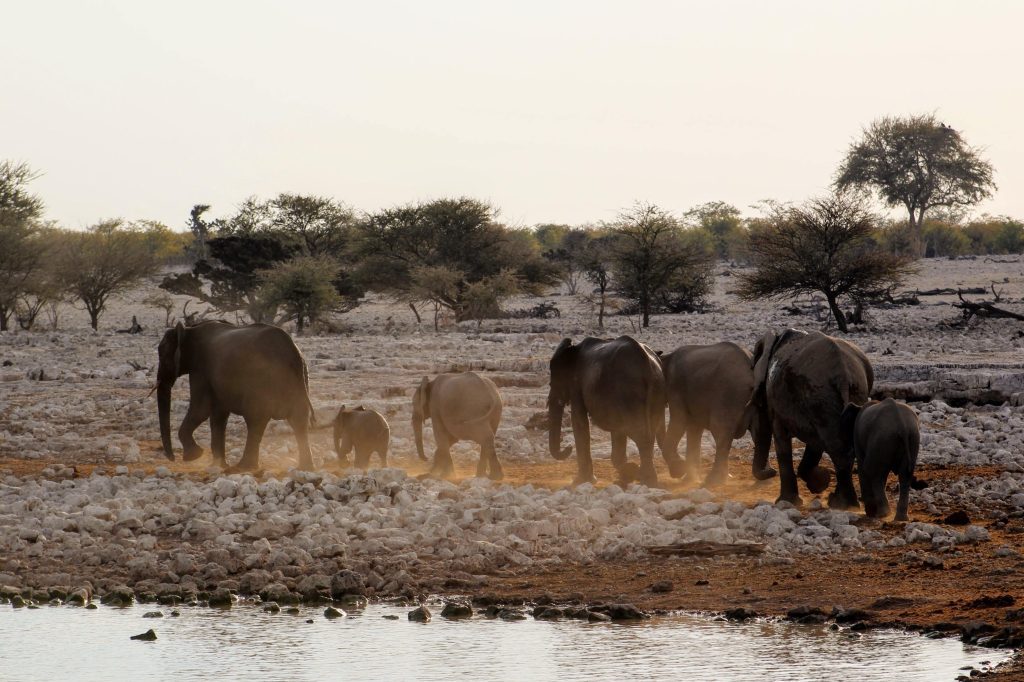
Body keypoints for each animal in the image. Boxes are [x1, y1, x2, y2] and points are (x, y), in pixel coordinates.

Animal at [155, 319, 313, 471]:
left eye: (162, 355)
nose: (172, 458)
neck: (189, 329)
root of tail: (291, 352)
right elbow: (218, 414)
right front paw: (218, 465)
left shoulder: (200, 370)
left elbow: (201, 410)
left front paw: (194, 456)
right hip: (299, 379)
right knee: (299, 420)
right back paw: (305, 468)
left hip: (261, 382)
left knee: (256, 420)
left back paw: (244, 467)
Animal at [548, 333, 667, 483]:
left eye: (554, 381)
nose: (567, 447)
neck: (573, 348)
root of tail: (647, 365)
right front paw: (628, 471)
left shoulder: (577, 384)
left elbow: (579, 421)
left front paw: (581, 481)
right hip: (656, 391)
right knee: (650, 432)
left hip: (628, 393)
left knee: (641, 434)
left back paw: (647, 479)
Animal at [659, 339, 770, 483]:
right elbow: (694, 429)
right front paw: (688, 479)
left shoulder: (675, 388)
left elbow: (679, 421)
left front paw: (679, 470)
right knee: (759, 433)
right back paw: (767, 474)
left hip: (728, 394)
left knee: (720, 431)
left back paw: (713, 481)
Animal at [753, 327, 872, 507]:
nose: (770, 471)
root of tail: (844, 375)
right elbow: (814, 443)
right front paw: (820, 483)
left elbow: (782, 439)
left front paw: (788, 501)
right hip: (847, 394)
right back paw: (842, 501)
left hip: (820, 397)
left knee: (837, 448)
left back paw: (843, 504)